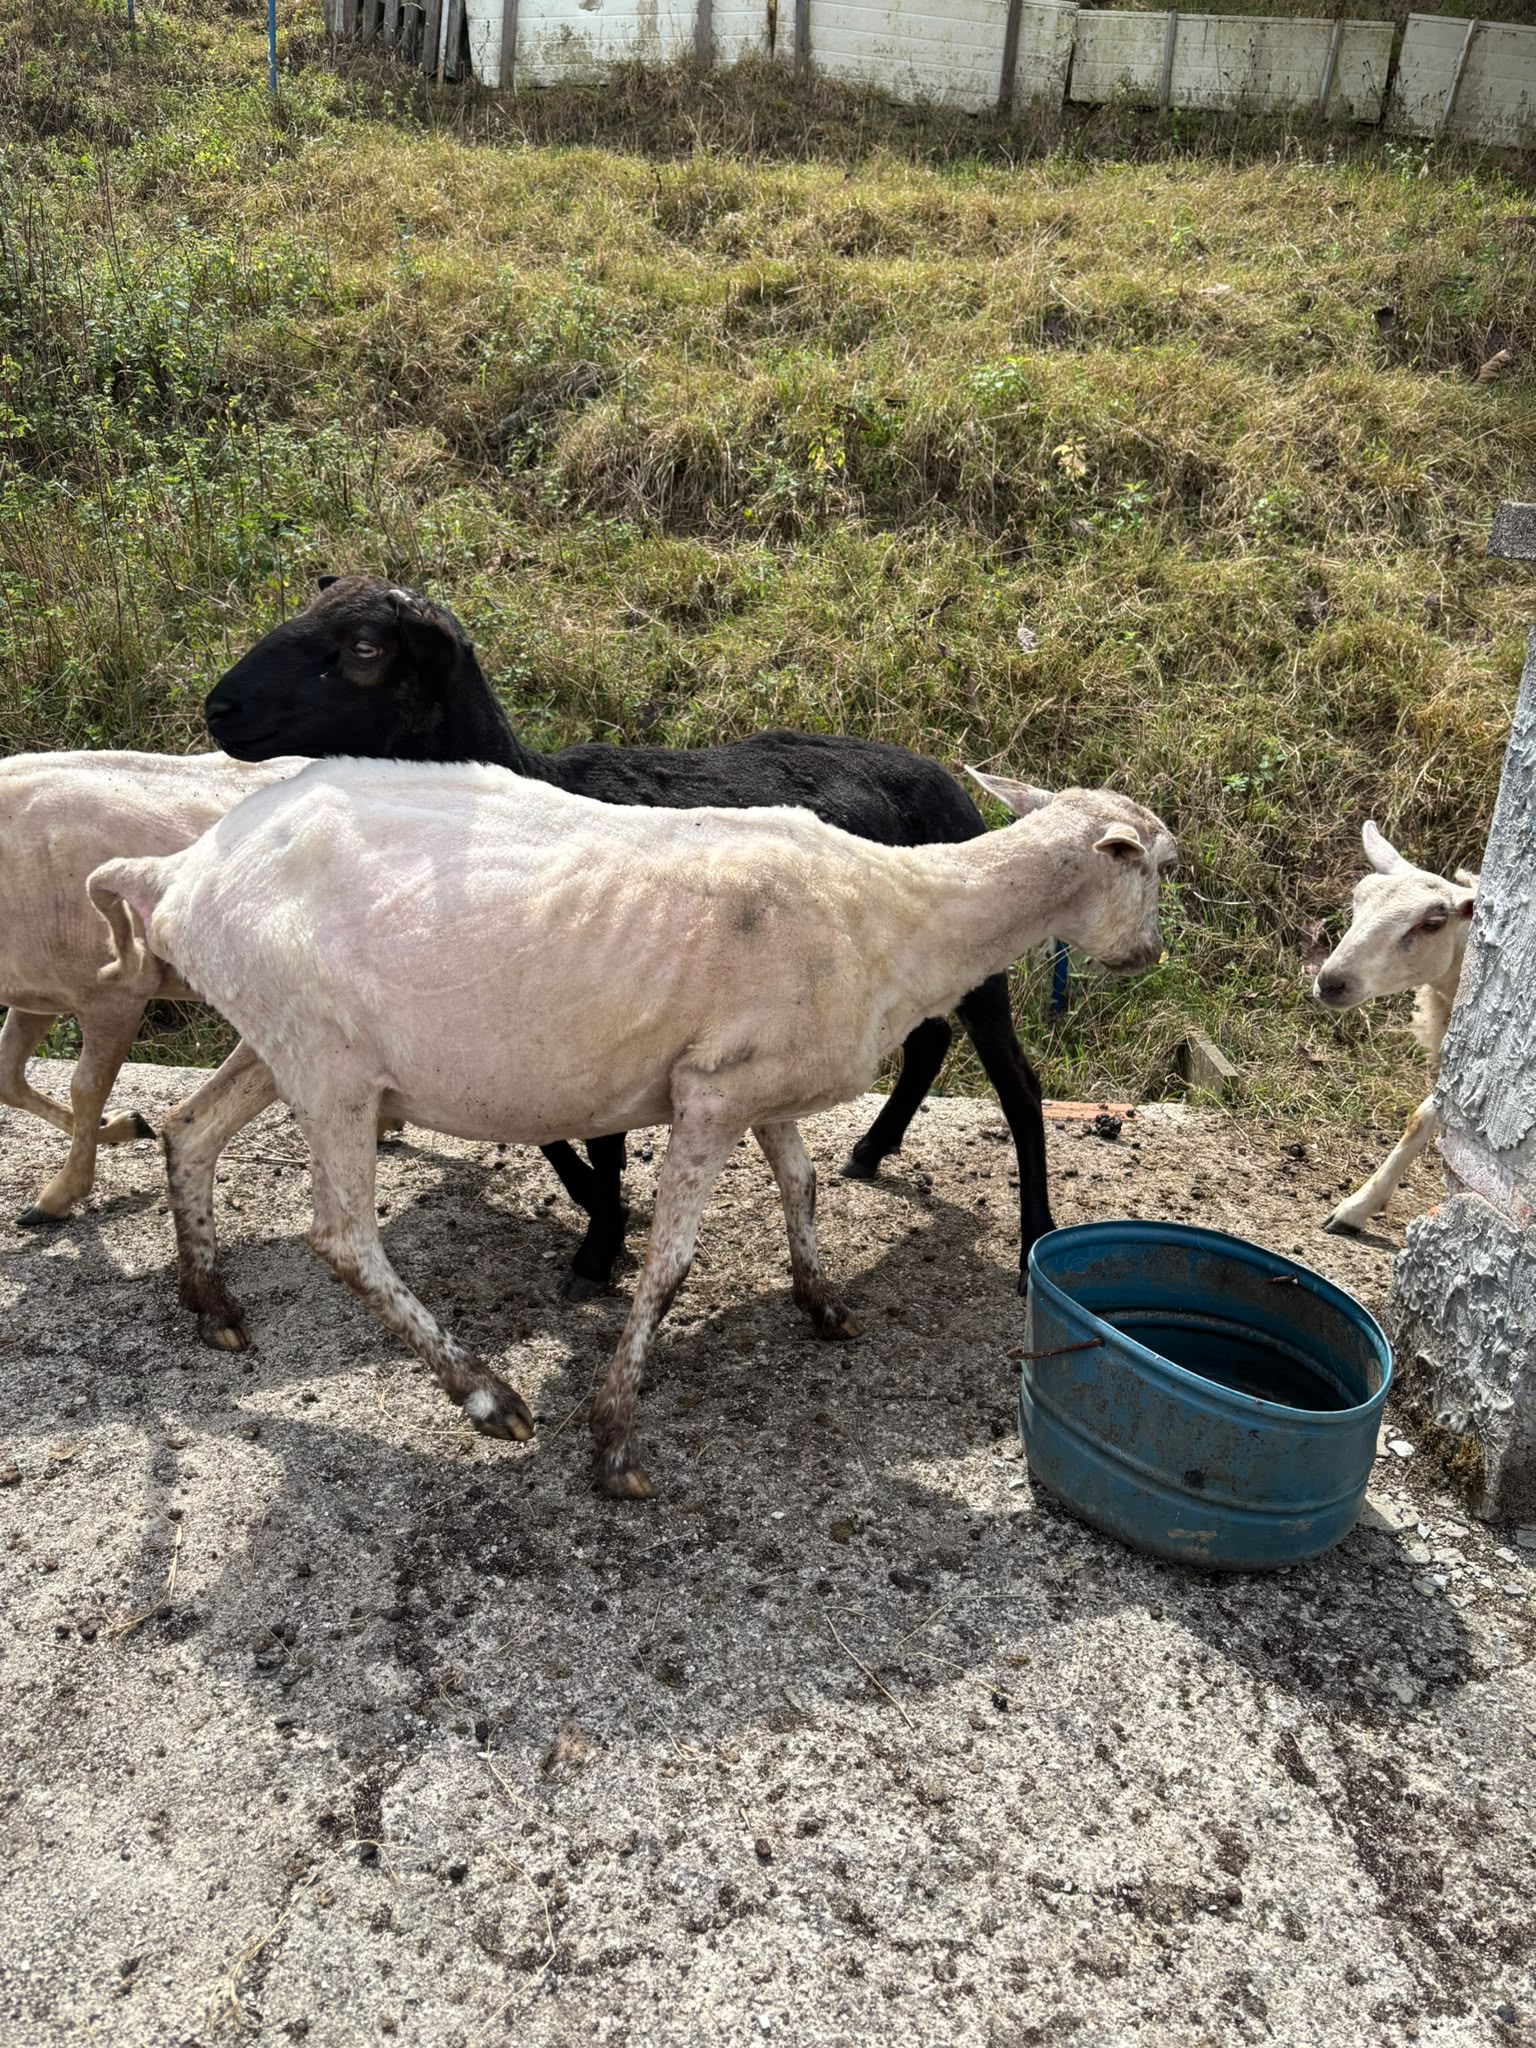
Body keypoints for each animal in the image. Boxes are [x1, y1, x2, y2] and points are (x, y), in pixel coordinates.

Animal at [0, 749, 303, 1225]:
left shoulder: (115, 994)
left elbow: (84, 1088)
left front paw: (58, 1196)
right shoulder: (36, 996)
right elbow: (8, 1079)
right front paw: (122, 1126)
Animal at [89, 759, 1175, 1498]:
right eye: (1157, 867)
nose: (1151, 955)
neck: (903, 913)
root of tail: (176, 869)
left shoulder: (753, 1086)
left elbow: (802, 1184)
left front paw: (823, 1300)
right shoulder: (709, 1093)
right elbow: (670, 1267)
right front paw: (614, 1440)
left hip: (279, 1043)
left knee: (186, 1130)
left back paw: (212, 1303)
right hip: (330, 1064)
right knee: (342, 1239)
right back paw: (485, 1395)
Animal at [201, 574, 1063, 1297]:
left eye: (364, 650)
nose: (219, 709)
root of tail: (946, 775)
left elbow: (600, 1141)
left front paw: (599, 1242)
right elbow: (551, 1129)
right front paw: (599, 1218)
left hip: (981, 958)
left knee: (1016, 1082)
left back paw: (1035, 1233)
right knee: (929, 1041)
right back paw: (872, 1149)